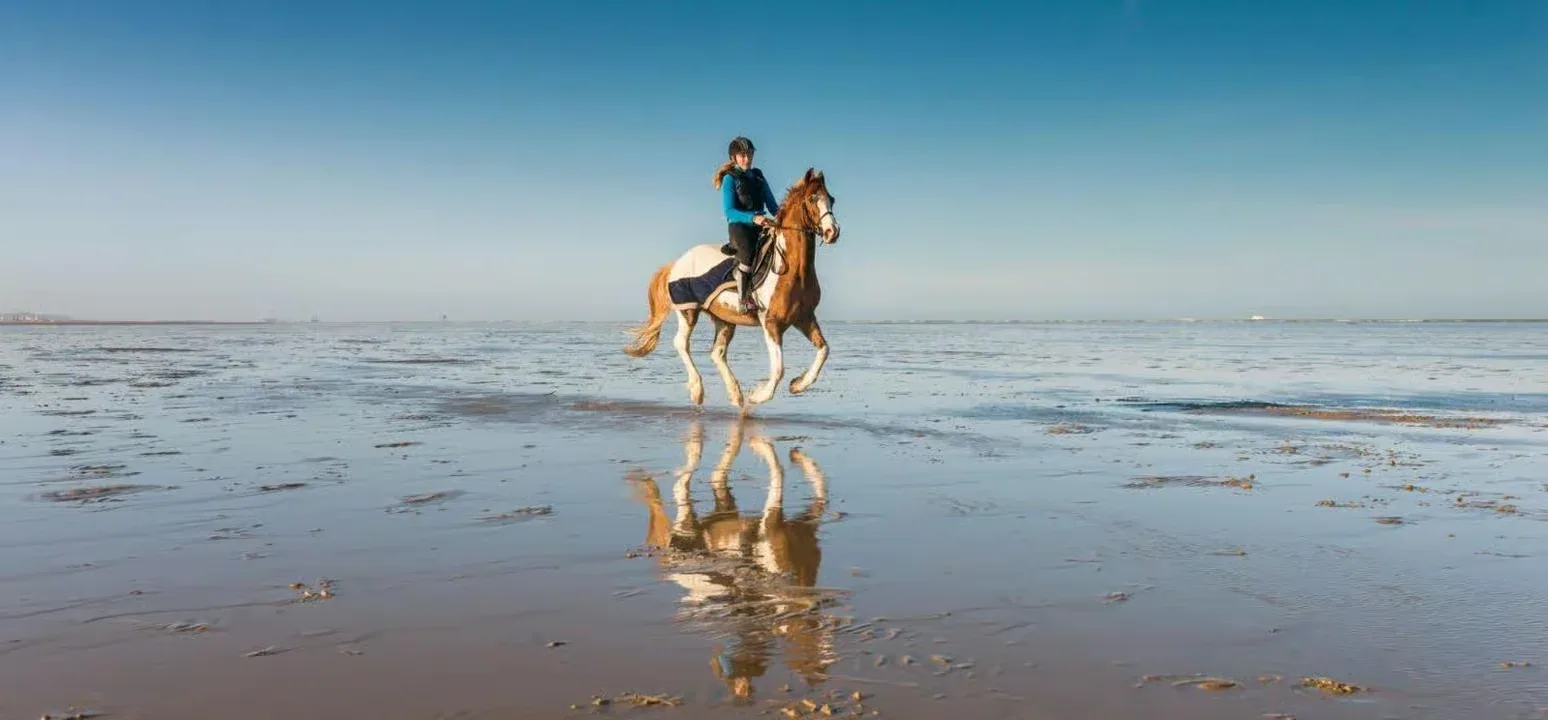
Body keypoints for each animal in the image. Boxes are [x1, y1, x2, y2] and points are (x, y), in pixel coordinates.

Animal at [623, 168, 840, 410]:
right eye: (812, 199)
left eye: (831, 199)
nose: (832, 232)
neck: (792, 269)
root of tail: (677, 263)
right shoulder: (771, 323)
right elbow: (778, 369)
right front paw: (758, 395)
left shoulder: (804, 317)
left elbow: (824, 350)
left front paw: (798, 384)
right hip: (688, 311)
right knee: (681, 344)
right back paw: (698, 390)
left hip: (724, 319)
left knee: (717, 353)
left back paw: (736, 394)